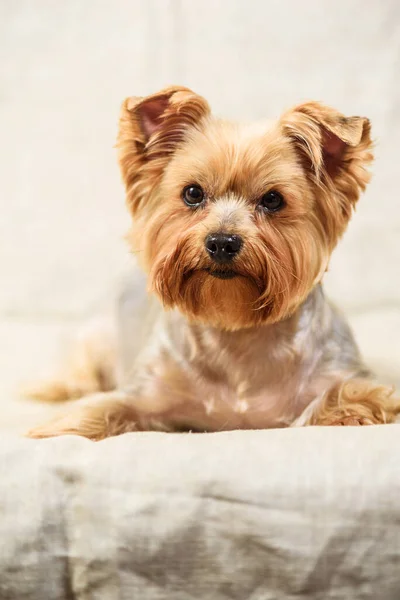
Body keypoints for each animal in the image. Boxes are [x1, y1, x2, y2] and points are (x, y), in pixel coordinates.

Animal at [26, 85, 398, 440]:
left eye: (273, 199)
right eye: (192, 193)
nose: (222, 242)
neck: (235, 330)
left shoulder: (342, 373)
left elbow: (350, 396)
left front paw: (347, 411)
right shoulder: (145, 390)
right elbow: (101, 409)